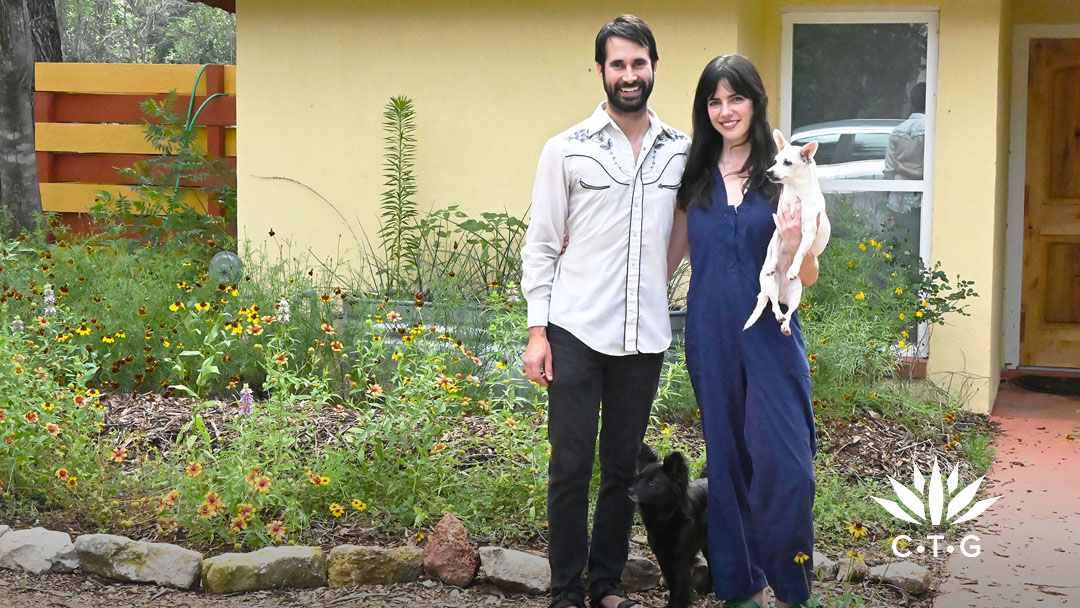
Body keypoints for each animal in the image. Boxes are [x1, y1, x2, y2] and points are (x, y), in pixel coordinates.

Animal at [630, 442, 712, 608]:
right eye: (639, 477)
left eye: (653, 482)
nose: (629, 490)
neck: (665, 516)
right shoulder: (662, 555)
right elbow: (673, 583)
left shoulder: (680, 557)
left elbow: (680, 583)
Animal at [747, 130, 829, 334]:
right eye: (775, 160)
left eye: (787, 163)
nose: (769, 172)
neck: (796, 194)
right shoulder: (779, 231)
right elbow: (775, 251)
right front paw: (771, 264)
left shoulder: (808, 233)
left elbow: (799, 252)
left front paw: (793, 269)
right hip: (770, 285)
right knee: (774, 304)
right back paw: (778, 313)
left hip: (796, 295)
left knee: (789, 312)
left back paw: (784, 324)